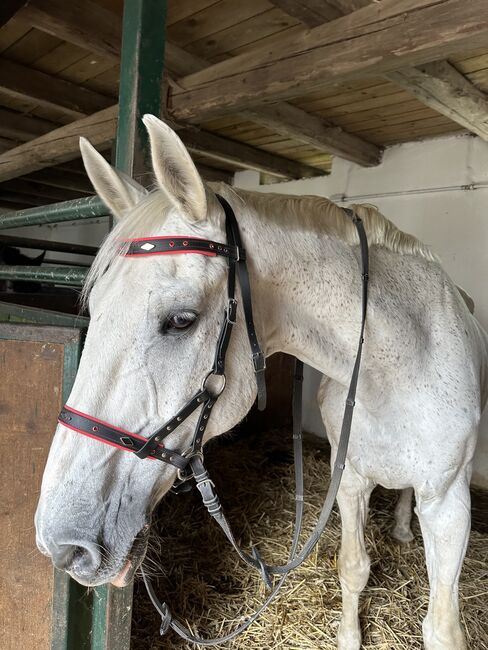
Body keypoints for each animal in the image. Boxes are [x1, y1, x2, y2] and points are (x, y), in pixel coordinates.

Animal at [35, 115, 488, 648]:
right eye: (95, 309)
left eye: (181, 320)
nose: (59, 543)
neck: (396, 365)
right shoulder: (351, 481)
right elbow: (353, 568)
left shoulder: (449, 505)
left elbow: (442, 628)